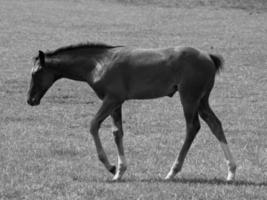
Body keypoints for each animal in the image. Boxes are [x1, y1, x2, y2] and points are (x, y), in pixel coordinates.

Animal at [26, 42, 237, 181]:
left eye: (35, 73)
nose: (30, 100)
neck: (98, 63)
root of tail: (209, 57)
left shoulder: (111, 99)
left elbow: (93, 125)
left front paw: (111, 167)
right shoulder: (116, 103)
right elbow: (117, 132)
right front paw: (120, 171)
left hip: (189, 98)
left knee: (192, 127)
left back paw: (172, 172)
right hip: (202, 100)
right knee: (215, 124)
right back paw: (231, 171)